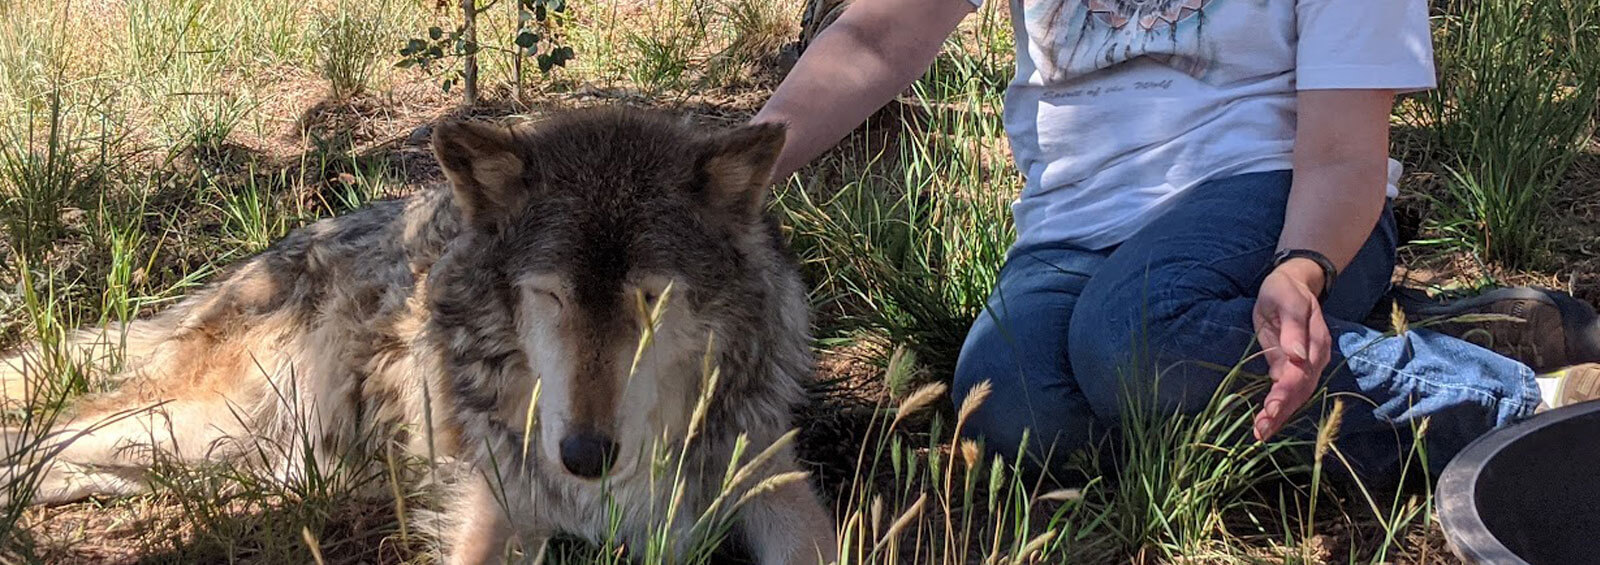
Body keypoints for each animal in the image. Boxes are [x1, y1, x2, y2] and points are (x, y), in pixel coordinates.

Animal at [0, 107, 838, 564]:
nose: (583, 456)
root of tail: (265, 256)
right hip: (199, 419)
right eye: (549, 294)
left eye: (650, 299)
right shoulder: (495, 505)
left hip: (236, 455)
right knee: (48, 431)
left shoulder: (769, 473)